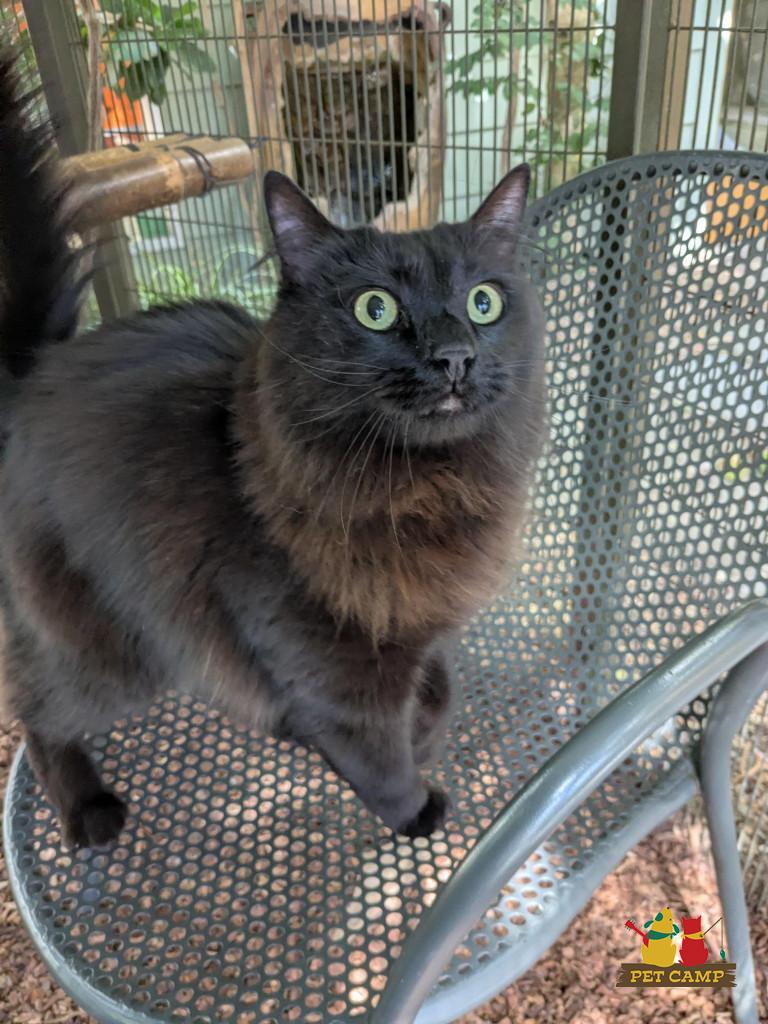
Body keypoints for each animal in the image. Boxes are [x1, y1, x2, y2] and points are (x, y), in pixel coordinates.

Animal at [0, 51, 545, 847]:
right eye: (375, 309)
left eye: (484, 303)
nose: (454, 358)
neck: (419, 492)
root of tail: (31, 376)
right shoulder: (333, 663)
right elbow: (380, 753)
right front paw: (415, 809)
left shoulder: (419, 630)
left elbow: (439, 690)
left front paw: (427, 733)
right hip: (109, 654)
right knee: (36, 710)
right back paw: (87, 809)